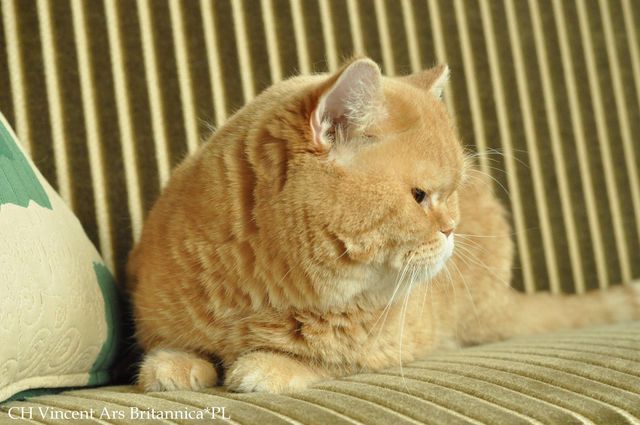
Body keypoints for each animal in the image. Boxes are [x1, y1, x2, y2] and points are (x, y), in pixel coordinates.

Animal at [127, 57, 640, 393]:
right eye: (419, 197)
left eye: (451, 192)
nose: (452, 228)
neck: (264, 295)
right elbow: (172, 348)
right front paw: (175, 364)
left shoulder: (389, 346)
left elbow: (321, 361)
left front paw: (265, 367)